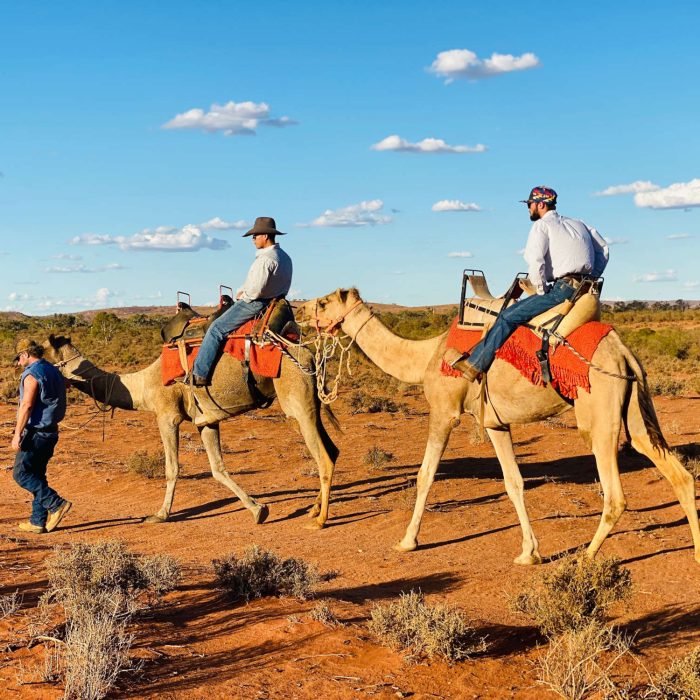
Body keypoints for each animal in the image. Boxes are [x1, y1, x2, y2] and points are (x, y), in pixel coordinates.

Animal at [43, 336, 340, 528]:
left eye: (40, 349)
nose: (26, 360)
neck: (143, 385)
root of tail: (311, 356)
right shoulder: (206, 421)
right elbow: (217, 468)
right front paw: (258, 510)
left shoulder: (167, 416)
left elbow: (172, 468)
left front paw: (159, 515)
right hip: (310, 403)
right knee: (332, 450)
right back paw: (313, 510)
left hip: (296, 398)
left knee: (323, 457)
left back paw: (320, 520)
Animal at [296, 288, 700, 568]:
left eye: (323, 302)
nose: (299, 310)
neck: (425, 357)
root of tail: (624, 353)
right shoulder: (495, 422)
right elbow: (514, 482)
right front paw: (529, 553)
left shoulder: (444, 411)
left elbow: (425, 475)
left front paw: (407, 541)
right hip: (632, 411)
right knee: (677, 473)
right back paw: (696, 553)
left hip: (599, 414)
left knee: (615, 495)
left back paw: (585, 558)